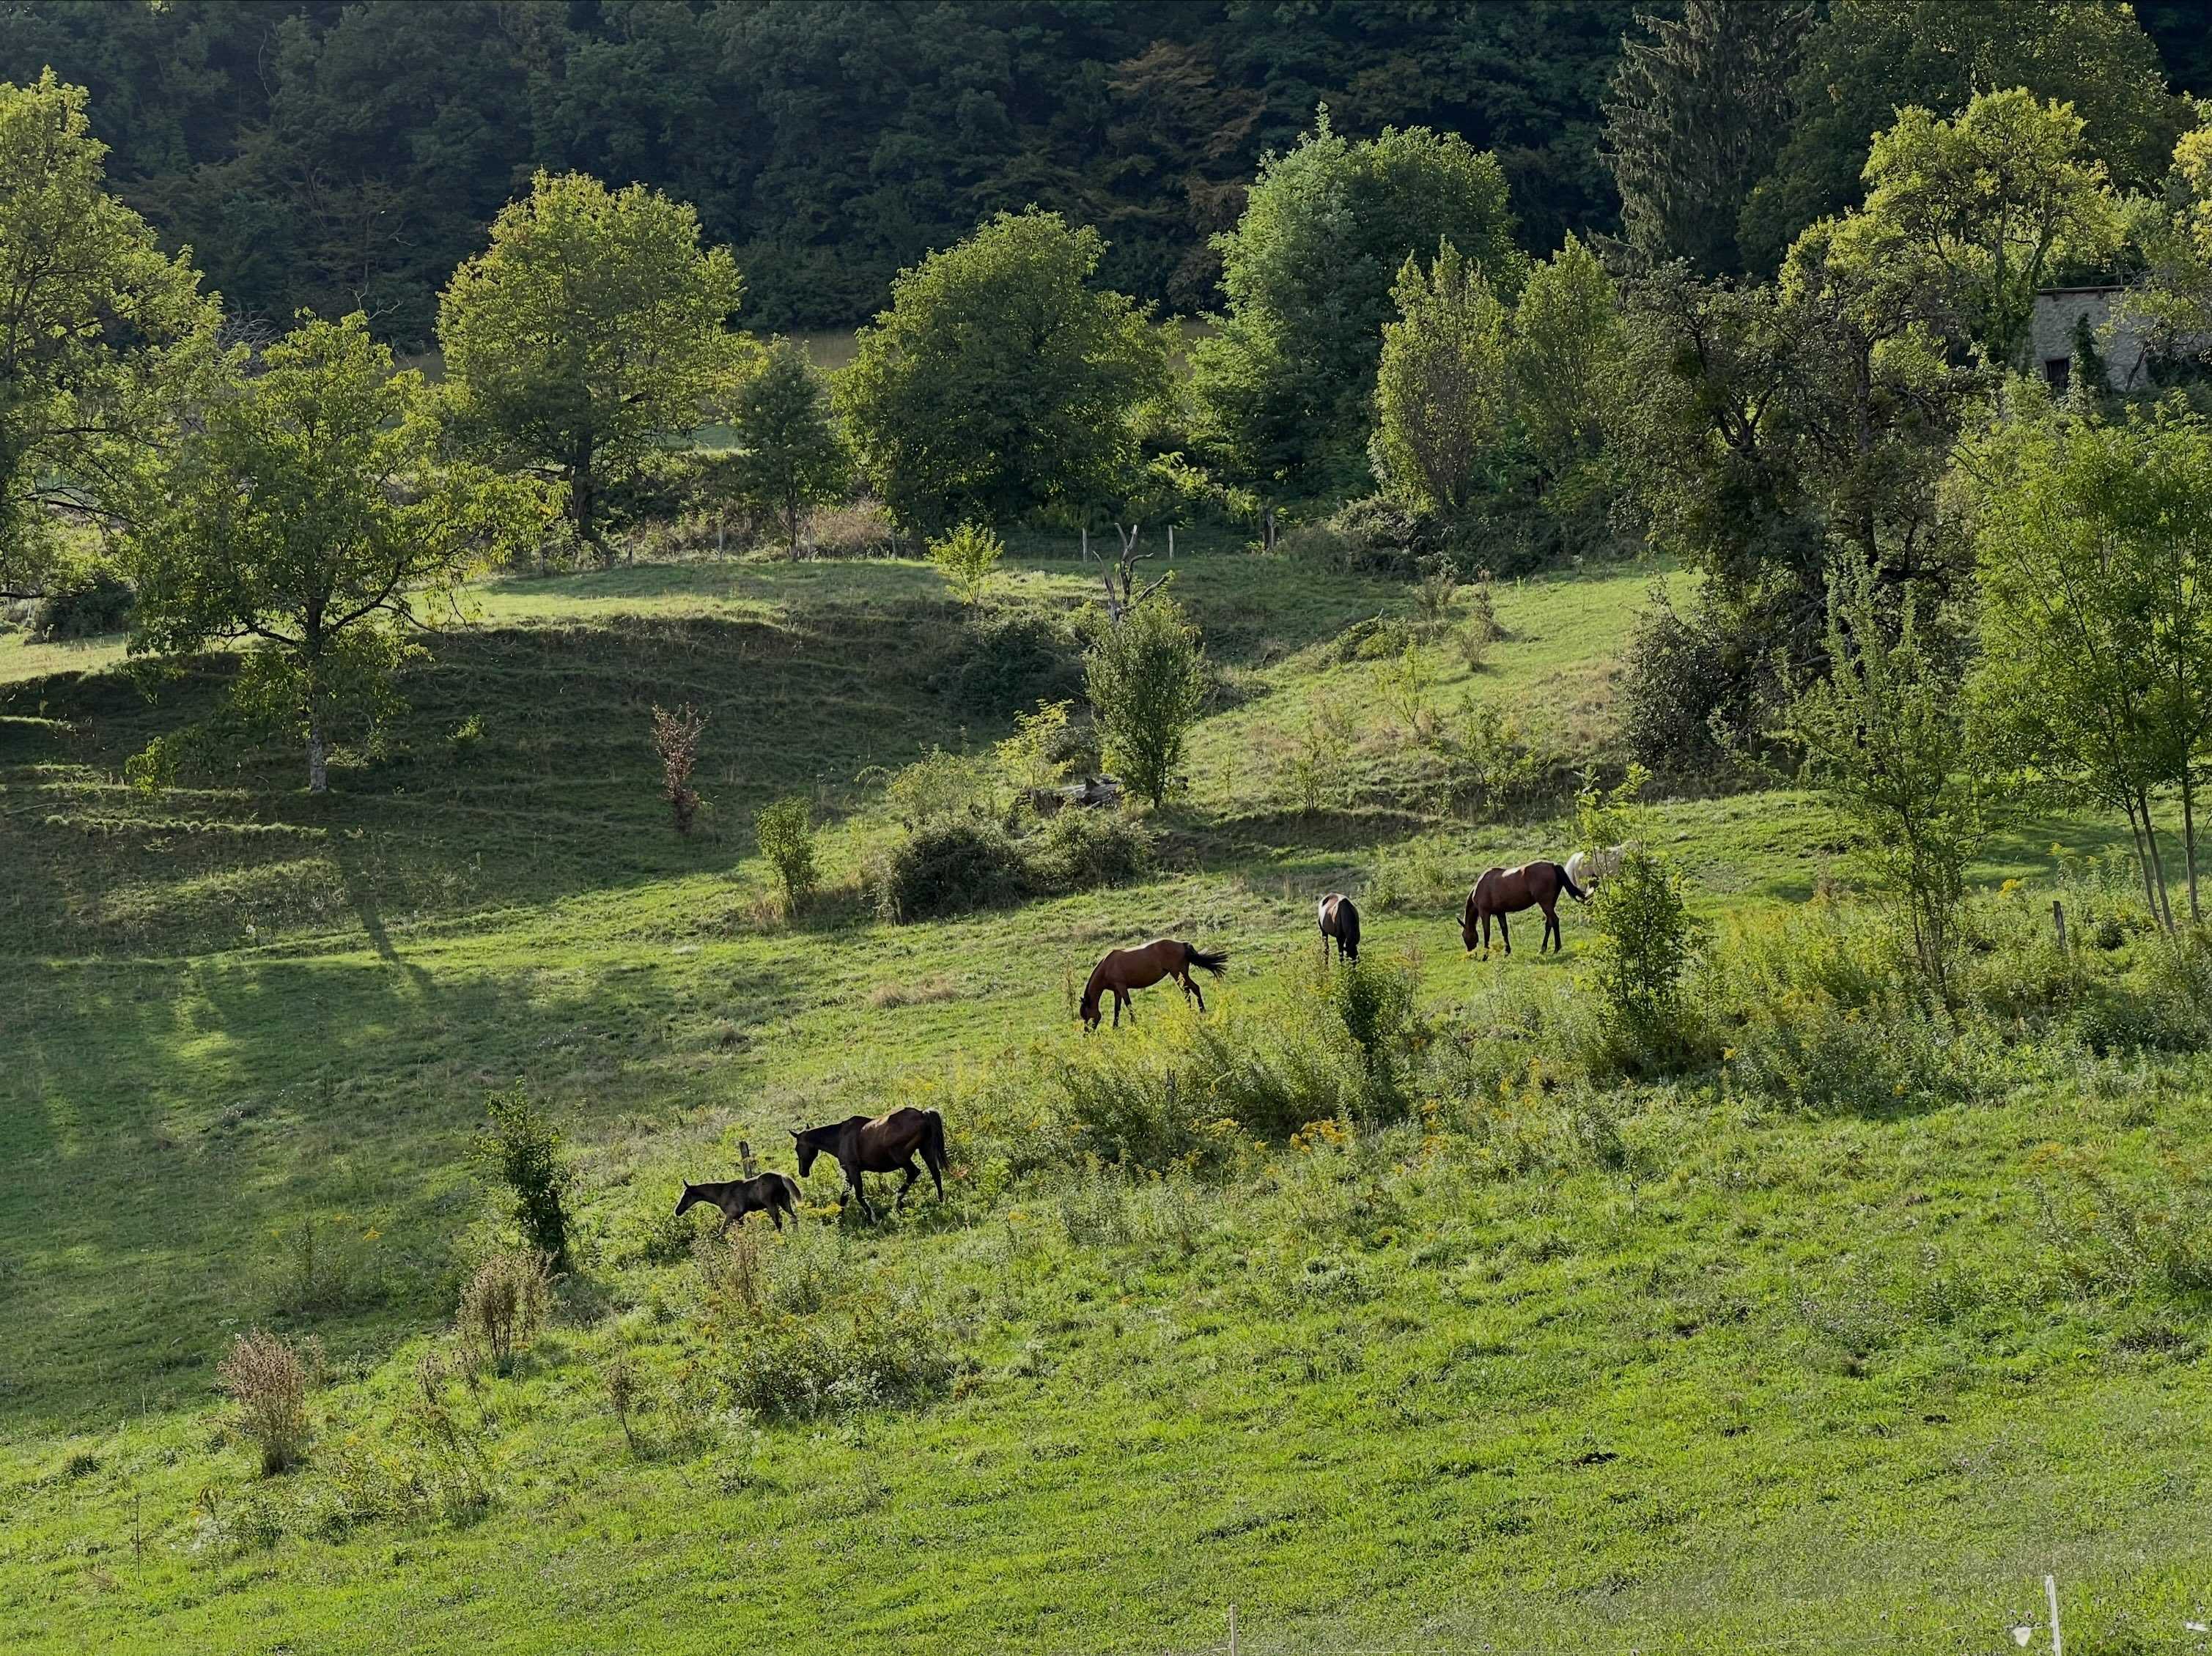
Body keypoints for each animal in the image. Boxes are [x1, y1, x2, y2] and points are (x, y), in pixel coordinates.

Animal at [675, 1171, 802, 1231]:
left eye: (686, 1195)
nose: (677, 1211)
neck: (720, 1193)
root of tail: (780, 1176)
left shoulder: (731, 1214)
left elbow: (722, 1230)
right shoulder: (738, 1217)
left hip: (771, 1204)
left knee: (778, 1222)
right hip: (784, 1201)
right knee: (793, 1217)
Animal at [792, 1106, 948, 1222]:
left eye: (797, 1148)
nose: (802, 1172)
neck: (840, 1137)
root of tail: (922, 1114)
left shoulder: (853, 1170)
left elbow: (859, 1195)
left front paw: (872, 1217)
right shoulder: (849, 1173)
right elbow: (844, 1197)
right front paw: (839, 1219)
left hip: (901, 1158)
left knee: (914, 1173)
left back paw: (897, 1203)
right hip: (925, 1150)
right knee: (936, 1174)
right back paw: (941, 1201)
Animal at [1079, 939, 1229, 1029]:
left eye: (1086, 1015)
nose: (1087, 1033)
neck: (1107, 966)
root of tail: (1182, 944)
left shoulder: (1122, 987)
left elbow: (1128, 1006)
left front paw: (1134, 1024)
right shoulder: (1117, 991)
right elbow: (1117, 1009)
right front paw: (1115, 1027)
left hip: (1178, 974)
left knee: (1188, 990)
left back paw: (1194, 1012)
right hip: (1181, 974)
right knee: (1194, 988)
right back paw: (1200, 1011)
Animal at [1461, 861, 1585, 956]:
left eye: (1464, 936)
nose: (1471, 954)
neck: (1482, 885)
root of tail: (1552, 865)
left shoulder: (1485, 913)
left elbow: (1487, 934)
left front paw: (1485, 956)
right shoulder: (1500, 912)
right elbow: (1504, 931)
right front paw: (1507, 952)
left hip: (1545, 904)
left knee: (1555, 921)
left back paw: (1556, 948)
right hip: (1550, 904)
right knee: (1549, 923)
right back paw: (1543, 949)